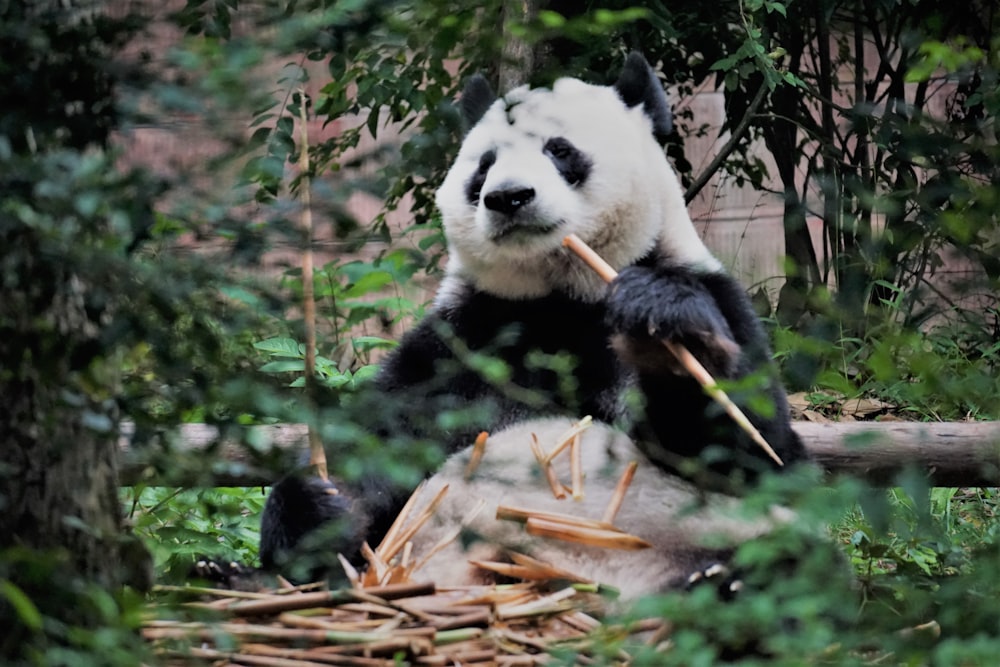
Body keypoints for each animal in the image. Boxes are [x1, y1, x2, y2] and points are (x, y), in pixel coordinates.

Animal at [262, 53, 808, 600]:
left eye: (559, 150)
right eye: (484, 165)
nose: (508, 197)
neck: (559, 299)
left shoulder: (718, 299)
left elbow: (761, 458)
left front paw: (666, 327)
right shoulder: (461, 341)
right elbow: (384, 442)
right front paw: (318, 509)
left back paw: (719, 582)